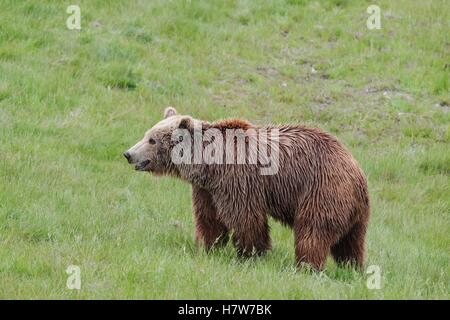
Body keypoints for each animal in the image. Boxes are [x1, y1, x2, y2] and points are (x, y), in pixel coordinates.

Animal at [123, 108, 370, 270]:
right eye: (146, 134)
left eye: (152, 140)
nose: (128, 154)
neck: (208, 164)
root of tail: (357, 171)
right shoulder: (207, 190)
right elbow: (209, 219)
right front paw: (207, 247)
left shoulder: (236, 179)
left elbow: (246, 218)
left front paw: (249, 254)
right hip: (351, 209)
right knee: (351, 241)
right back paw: (351, 268)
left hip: (321, 189)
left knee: (313, 231)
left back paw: (306, 266)